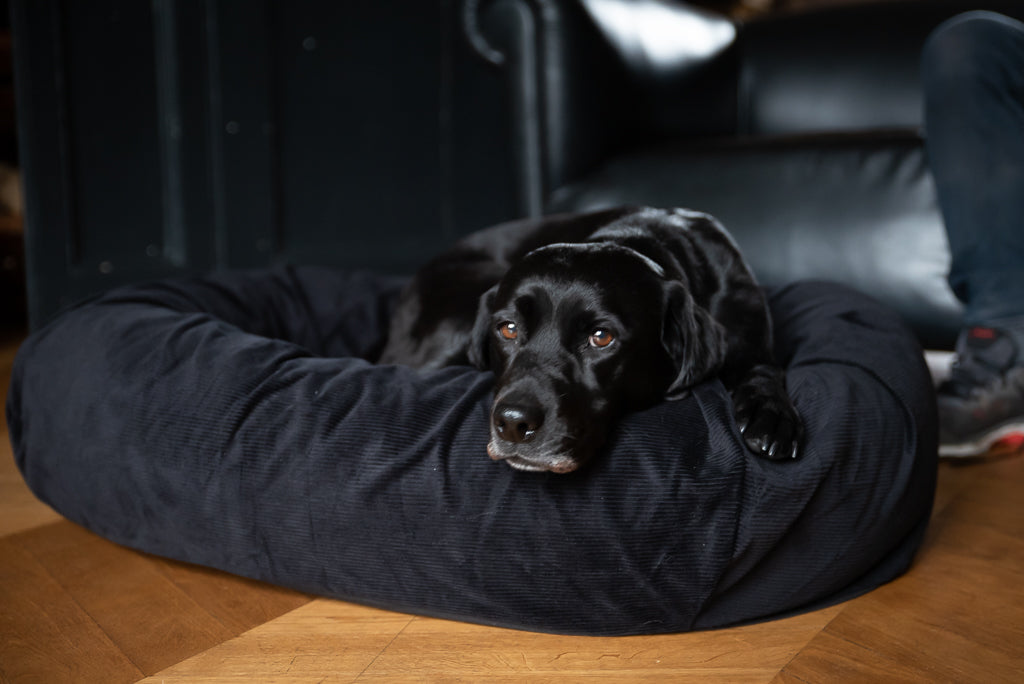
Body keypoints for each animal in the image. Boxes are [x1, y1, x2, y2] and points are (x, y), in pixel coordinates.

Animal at [380, 205, 802, 473]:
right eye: (508, 329)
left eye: (602, 337)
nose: (513, 424)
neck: (648, 240)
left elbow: (764, 366)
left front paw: (771, 414)